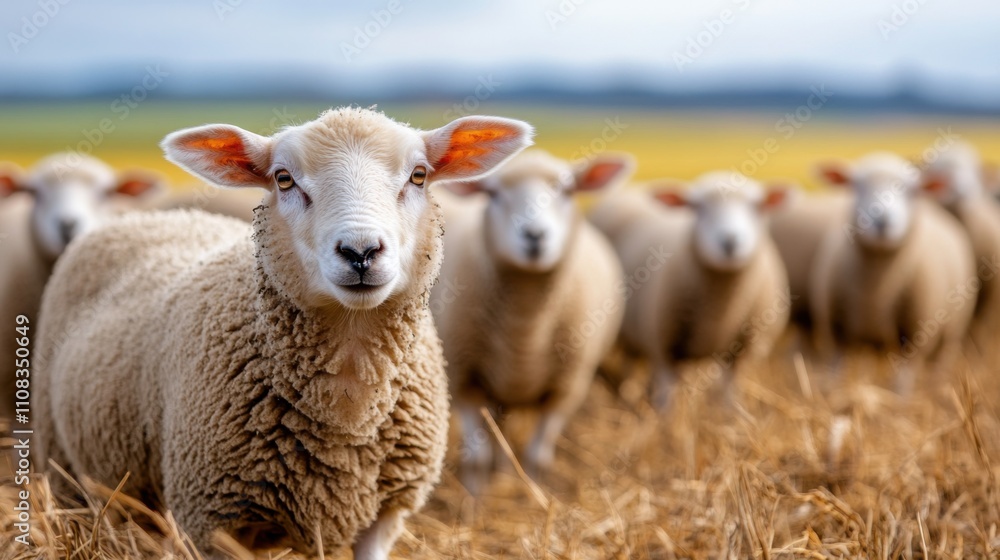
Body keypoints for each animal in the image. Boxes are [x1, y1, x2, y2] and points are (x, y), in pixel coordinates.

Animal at [33, 107, 533, 558]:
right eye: (284, 179)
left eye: (419, 176)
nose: (360, 252)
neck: (349, 400)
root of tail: (149, 218)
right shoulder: (213, 521)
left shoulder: (386, 515)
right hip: (64, 468)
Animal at [430, 149, 632, 491]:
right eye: (493, 193)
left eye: (567, 190)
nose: (535, 236)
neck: (525, 323)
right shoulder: (463, 379)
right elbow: (476, 457)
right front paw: (475, 498)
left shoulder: (567, 388)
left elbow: (538, 456)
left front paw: (534, 492)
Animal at [590, 171, 791, 410]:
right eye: (697, 207)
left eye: (756, 206)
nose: (730, 242)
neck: (720, 313)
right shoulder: (664, 344)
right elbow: (666, 395)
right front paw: (664, 418)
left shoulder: (740, 349)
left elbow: (730, 392)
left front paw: (731, 415)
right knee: (630, 362)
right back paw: (626, 395)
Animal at [810, 152, 976, 393]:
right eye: (856, 186)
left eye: (913, 191)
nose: (882, 221)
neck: (875, 290)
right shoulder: (836, 328)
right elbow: (835, 369)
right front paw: (831, 393)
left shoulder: (915, 333)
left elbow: (902, 381)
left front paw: (900, 398)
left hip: (953, 328)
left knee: (943, 357)